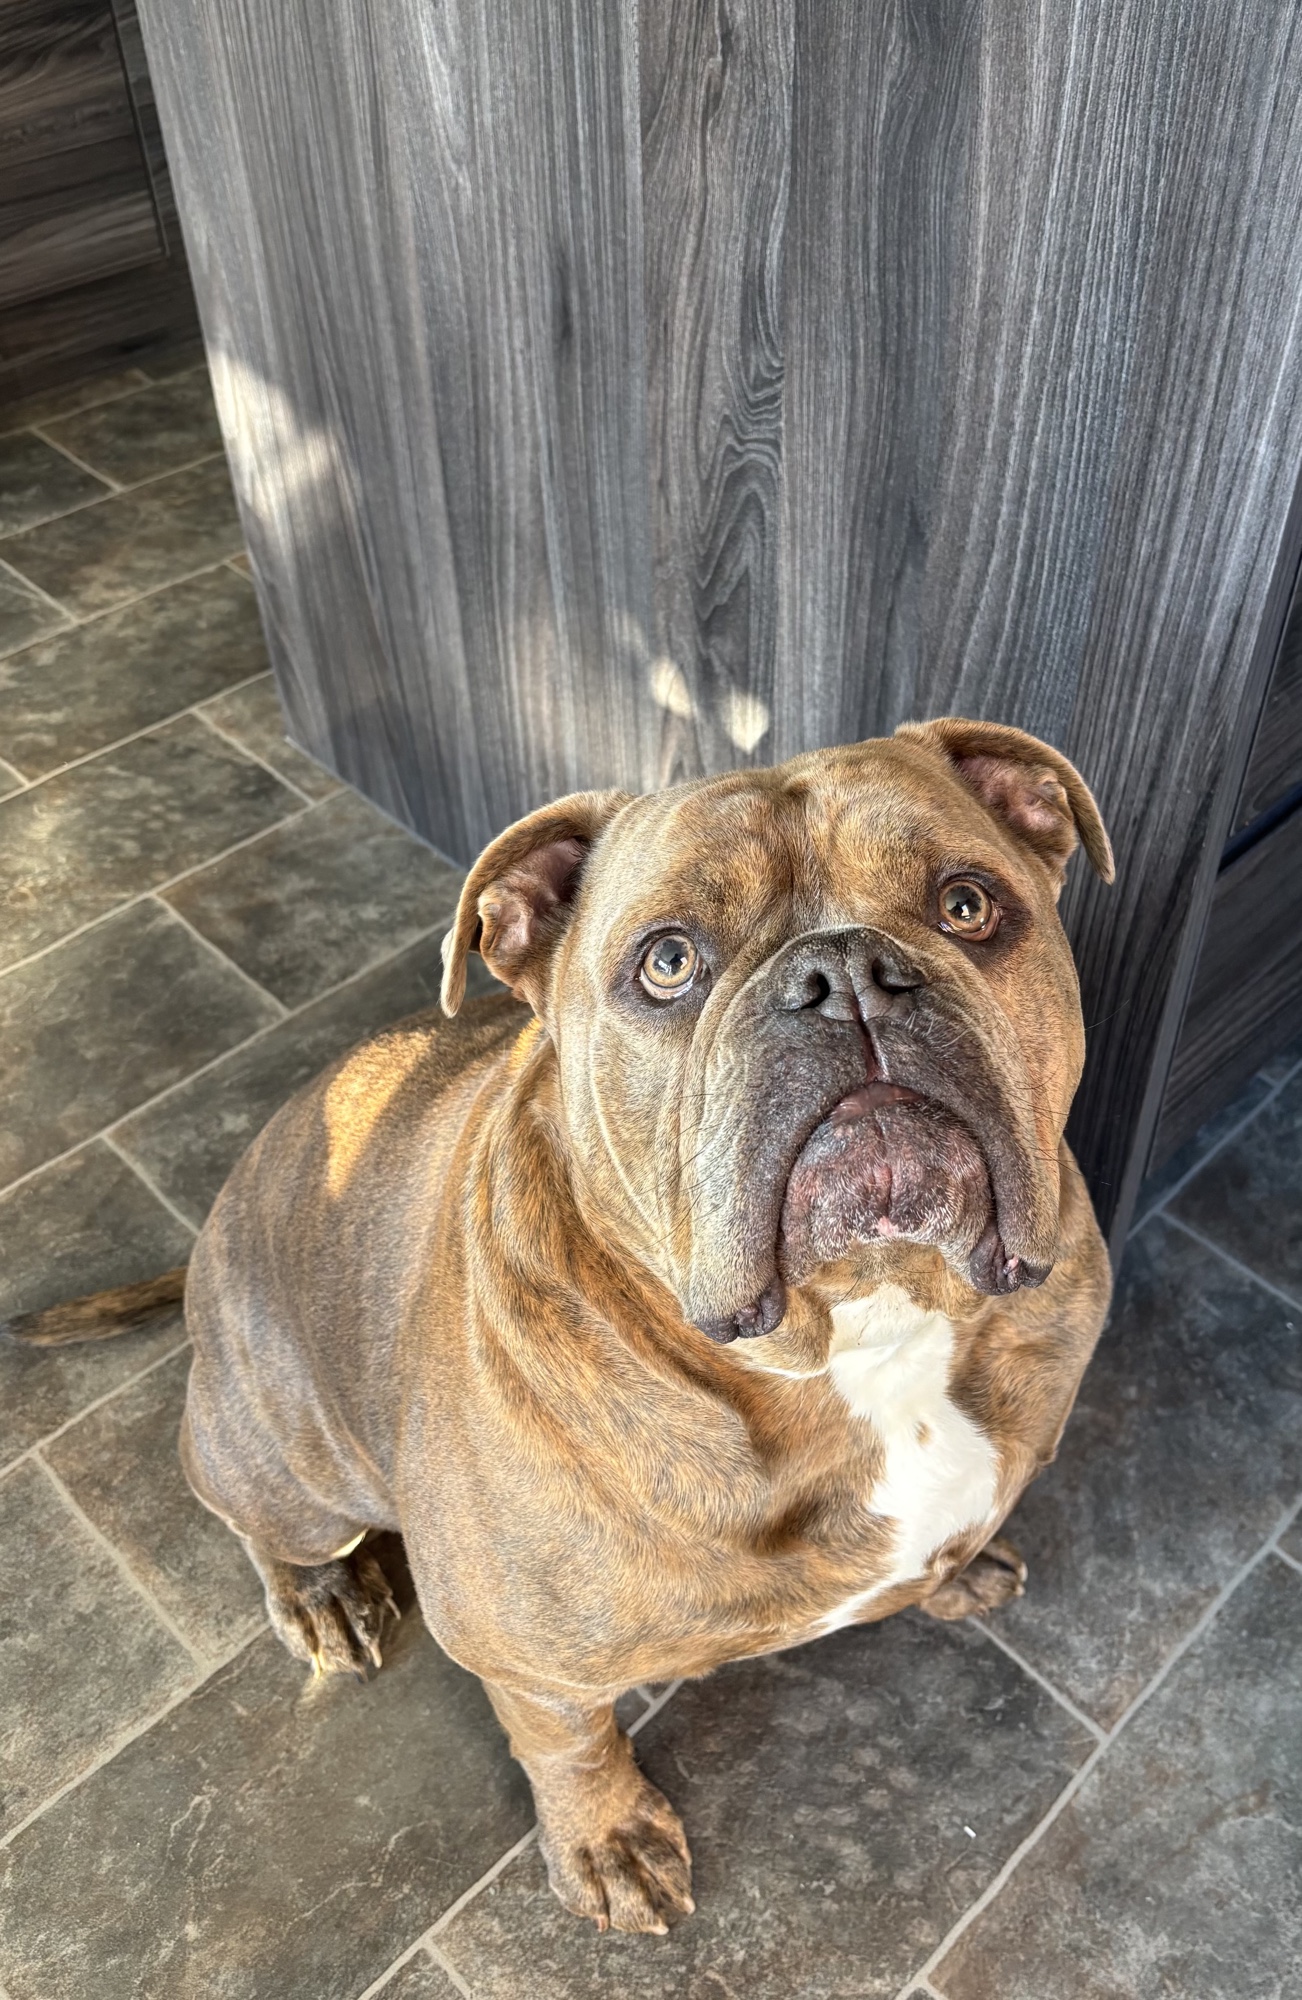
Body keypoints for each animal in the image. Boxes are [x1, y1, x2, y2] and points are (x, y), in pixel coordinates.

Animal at [10, 716, 1114, 1935]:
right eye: (667, 963)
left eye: (968, 903)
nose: (845, 978)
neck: (865, 1329)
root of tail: (209, 1242)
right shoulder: (526, 1657)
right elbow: (566, 1740)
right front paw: (608, 1837)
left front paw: (954, 1568)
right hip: (289, 1469)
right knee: (255, 1518)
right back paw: (322, 1594)